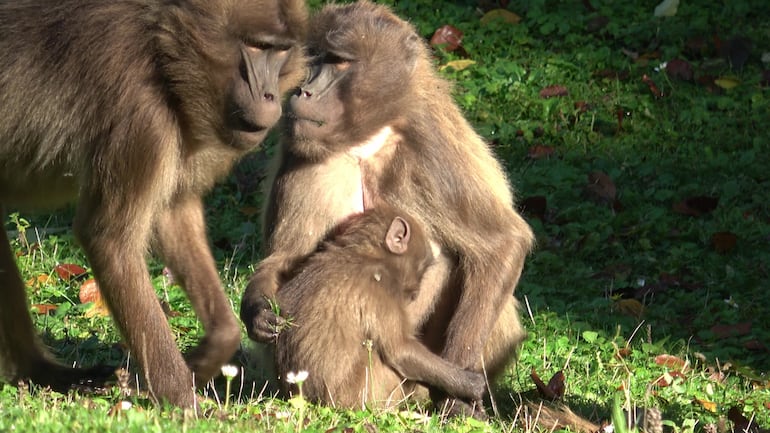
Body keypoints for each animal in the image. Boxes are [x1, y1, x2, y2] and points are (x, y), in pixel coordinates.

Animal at [0, 0, 307, 407]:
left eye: (280, 51)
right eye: (258, 47)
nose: (270, 96)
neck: (161, 47)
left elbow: (172, 215)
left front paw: (215, 347)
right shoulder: (140, 113)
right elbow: (110, 240)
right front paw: (184, 402)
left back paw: (42, 374)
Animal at [274, 205, 487, 409]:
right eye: (422, 267)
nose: (415, 291)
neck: (366, 255)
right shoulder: (380, 290)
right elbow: (401, 352)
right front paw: (471, 385)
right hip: (356, 396)